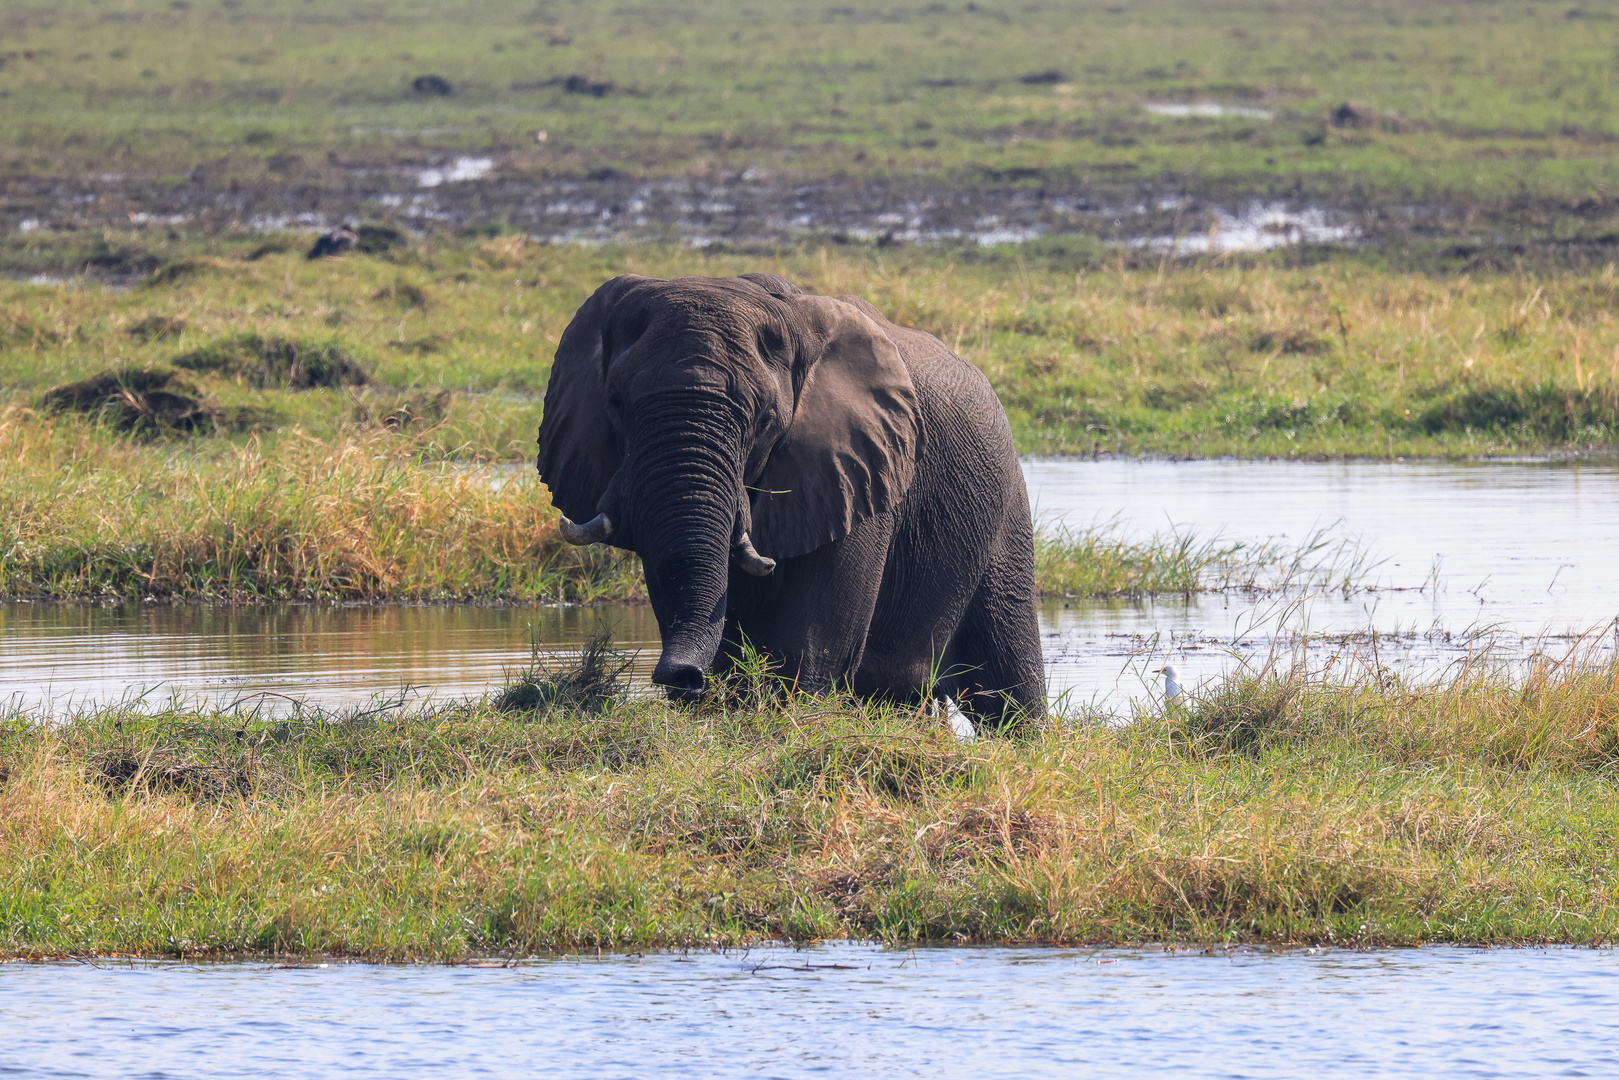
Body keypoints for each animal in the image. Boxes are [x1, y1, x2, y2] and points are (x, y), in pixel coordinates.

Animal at [537, 272, 1042, 725]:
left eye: (764, 420)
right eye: (616, 404)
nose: (682, 676)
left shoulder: (857, 471)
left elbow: (809, 648)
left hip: (1005, 515)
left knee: (1009, 691)